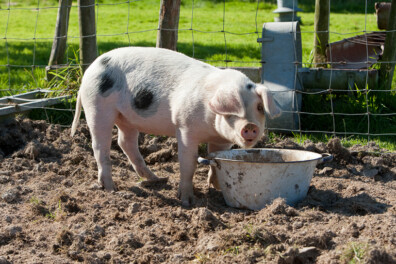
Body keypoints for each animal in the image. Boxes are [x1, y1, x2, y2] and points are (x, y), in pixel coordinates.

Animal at [71, 46, 282, 206]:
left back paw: (154, 179)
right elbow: (188, 164)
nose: (250, 126)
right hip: (97, 108)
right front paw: (188, 201)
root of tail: (89, 71)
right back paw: (111, 188)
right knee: (100, 147)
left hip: (127, 119)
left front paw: (215, 186)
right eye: (232, 112)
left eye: (259, 107)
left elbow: (216, 159)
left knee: (125, 143)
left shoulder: (222, 140)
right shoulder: (184, 128)